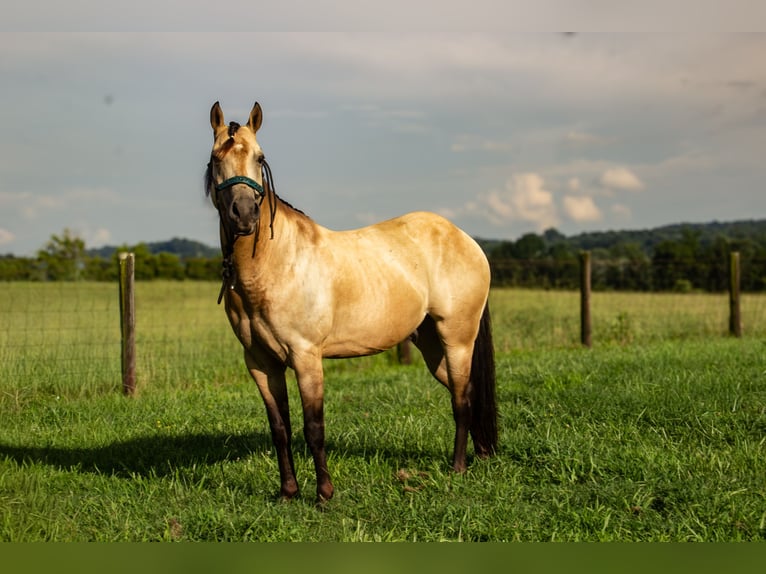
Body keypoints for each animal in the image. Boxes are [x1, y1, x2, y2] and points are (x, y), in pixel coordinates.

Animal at [205, 101, 497, 502]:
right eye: (215, 157)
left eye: (260, 157)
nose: (244, 214)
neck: (276, 263)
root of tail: (465, 239)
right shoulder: (261, 364)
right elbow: (280, 428)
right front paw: (288, 493)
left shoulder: (306, 357)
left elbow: (313, 427)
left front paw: (324, 495)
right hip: (432, 346)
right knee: (465, 393)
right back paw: (478, 456)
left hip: (457, 340)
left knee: (463, 400)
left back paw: (458, 468)